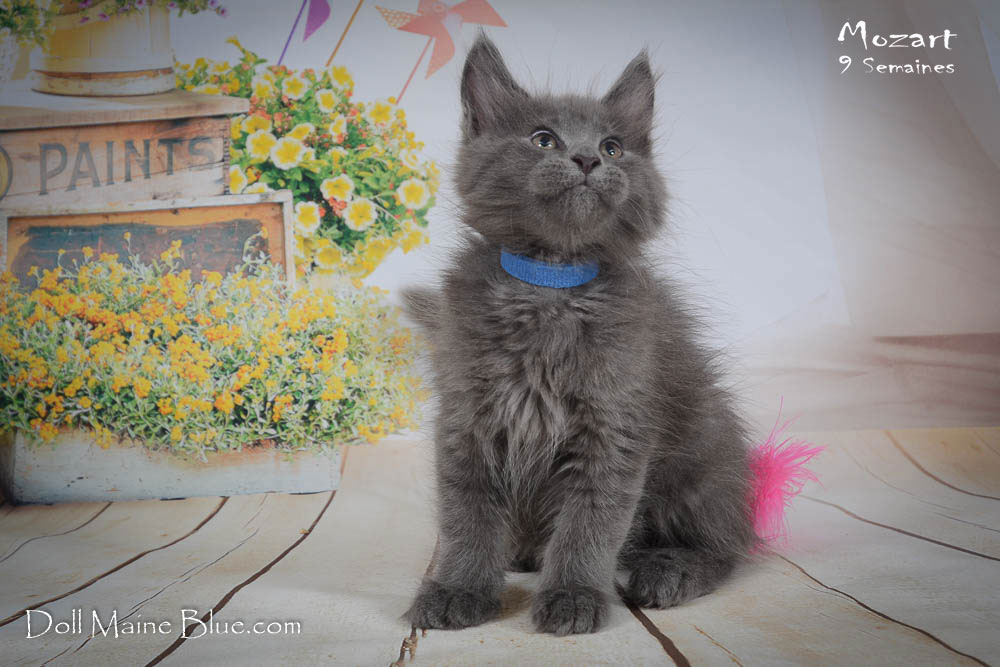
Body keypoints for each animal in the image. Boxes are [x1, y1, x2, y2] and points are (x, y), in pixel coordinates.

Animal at [403, 34, 756, 636]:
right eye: (543, 139)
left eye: (614, 148)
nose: (588, 159)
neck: (552, 284)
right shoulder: (467, 420)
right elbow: (466, 515)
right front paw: (458, 587)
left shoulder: (615, 423)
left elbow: (591, 520)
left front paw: (573, 595)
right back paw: (523, 551)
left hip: (699, 464)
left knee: (724, 546)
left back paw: (666, 569)